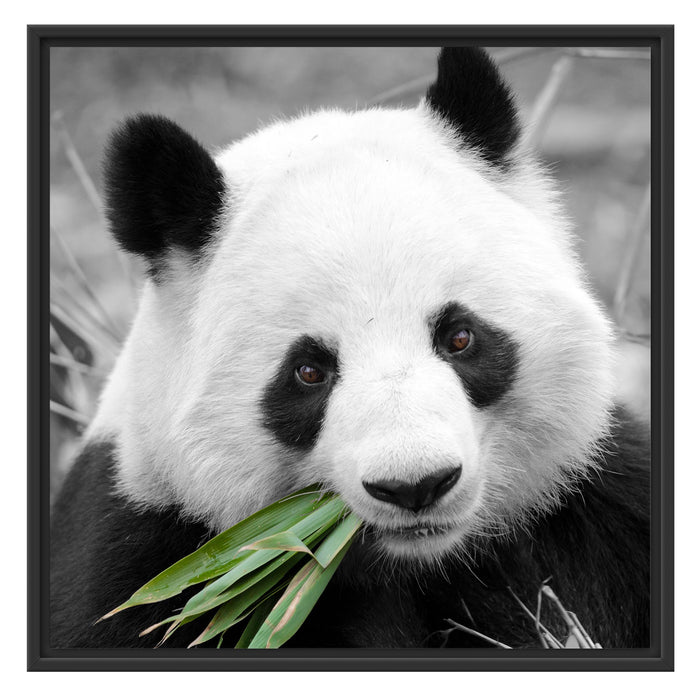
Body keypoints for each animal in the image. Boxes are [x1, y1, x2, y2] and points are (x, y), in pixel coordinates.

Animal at [50, 47, 650, 649]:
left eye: (459, 337)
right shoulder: (151, 555)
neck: (419, 562)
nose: (415, 486)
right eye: (309, 371)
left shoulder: (593, 509)